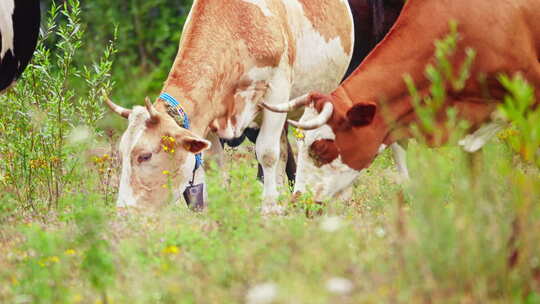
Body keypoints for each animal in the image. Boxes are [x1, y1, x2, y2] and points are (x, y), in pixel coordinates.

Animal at [104, 0, 358, 214]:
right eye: (122, 153)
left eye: (144, 156)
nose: (123, 212)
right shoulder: (209, 114)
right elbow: (214, 163)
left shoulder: (277, 91)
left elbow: (267, 153)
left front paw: (269, 210)